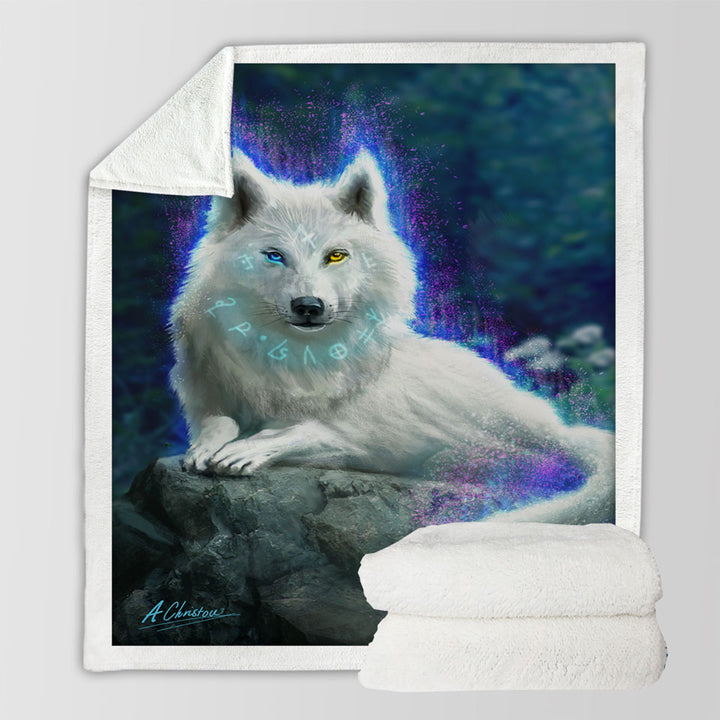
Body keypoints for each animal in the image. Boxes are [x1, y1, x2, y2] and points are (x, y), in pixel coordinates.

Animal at [169, 150, 614, 524]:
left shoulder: (381, 436)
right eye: (275, 255)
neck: (299, 360)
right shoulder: (210, 396)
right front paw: (205, 448)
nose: (309, 306)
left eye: (336, 255)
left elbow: (314, 430)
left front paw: (249, 448)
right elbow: (217, 422)